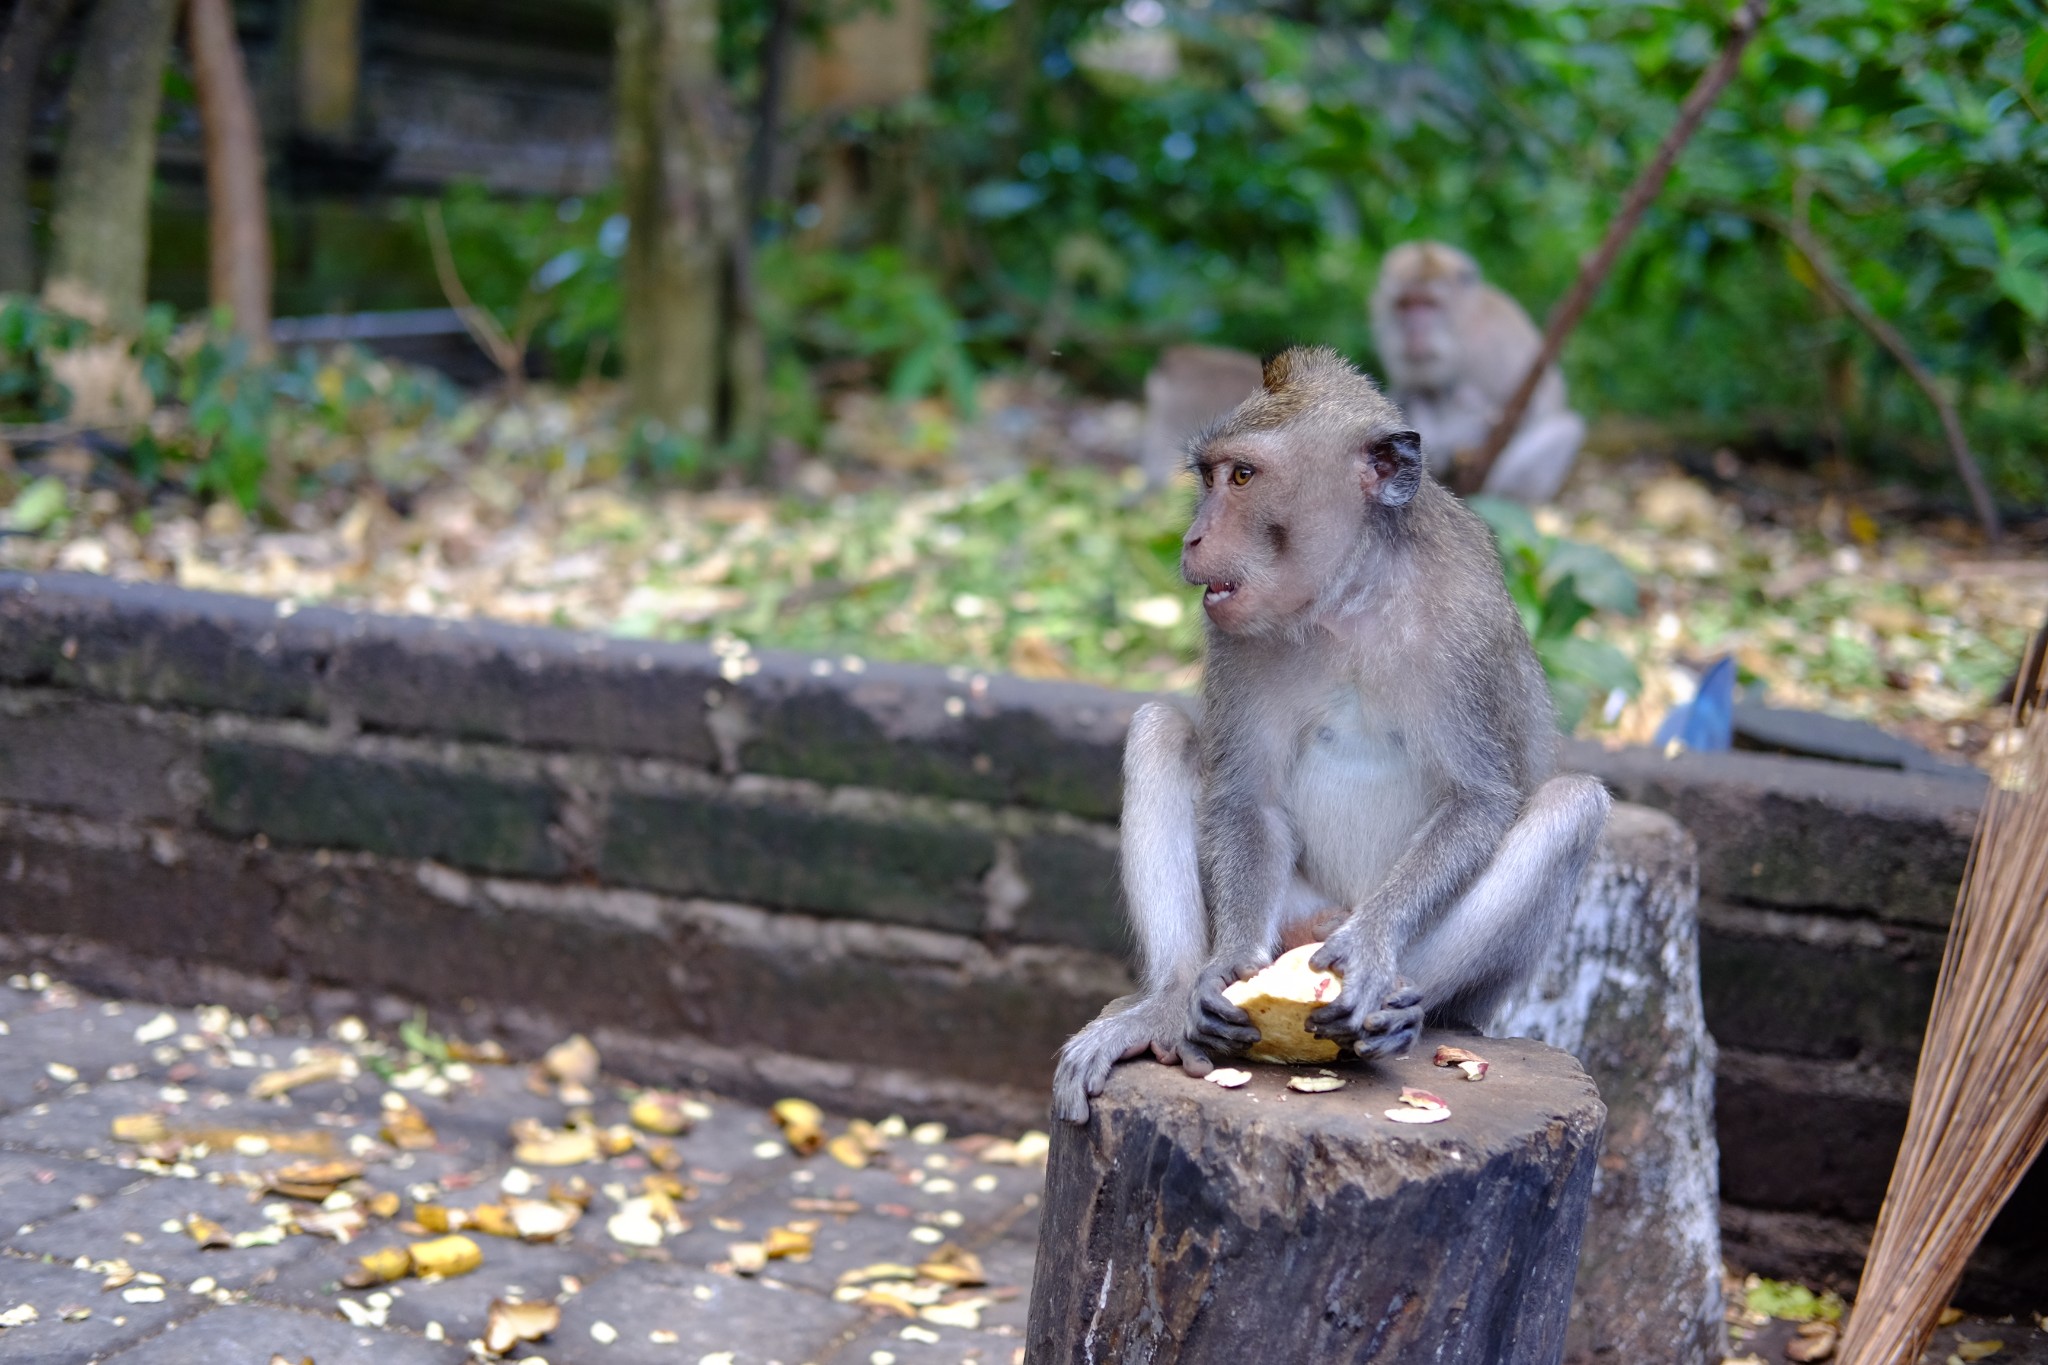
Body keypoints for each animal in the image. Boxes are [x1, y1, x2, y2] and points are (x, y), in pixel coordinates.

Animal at [1056, 347, 1613, 1129]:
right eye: (1209, 476)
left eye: (1244, 476)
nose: (1193, 539)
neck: (1347, 600)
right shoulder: (1233, 638)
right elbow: (1247, 797)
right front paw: (1224, 965)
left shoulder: (1465, 626)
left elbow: (1478, 798)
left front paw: (1373, 955)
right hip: (1292, 907)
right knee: (1159, 729)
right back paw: (1169, 1007)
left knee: (1572, 803)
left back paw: (1395, 1012)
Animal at [1368, 241, 1589, 507]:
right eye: (1405, 304)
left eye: (1430, 304)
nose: (1413, 333)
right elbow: (1404, 393)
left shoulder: (1498, 345)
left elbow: (1523, 413)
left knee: (1566, 429)